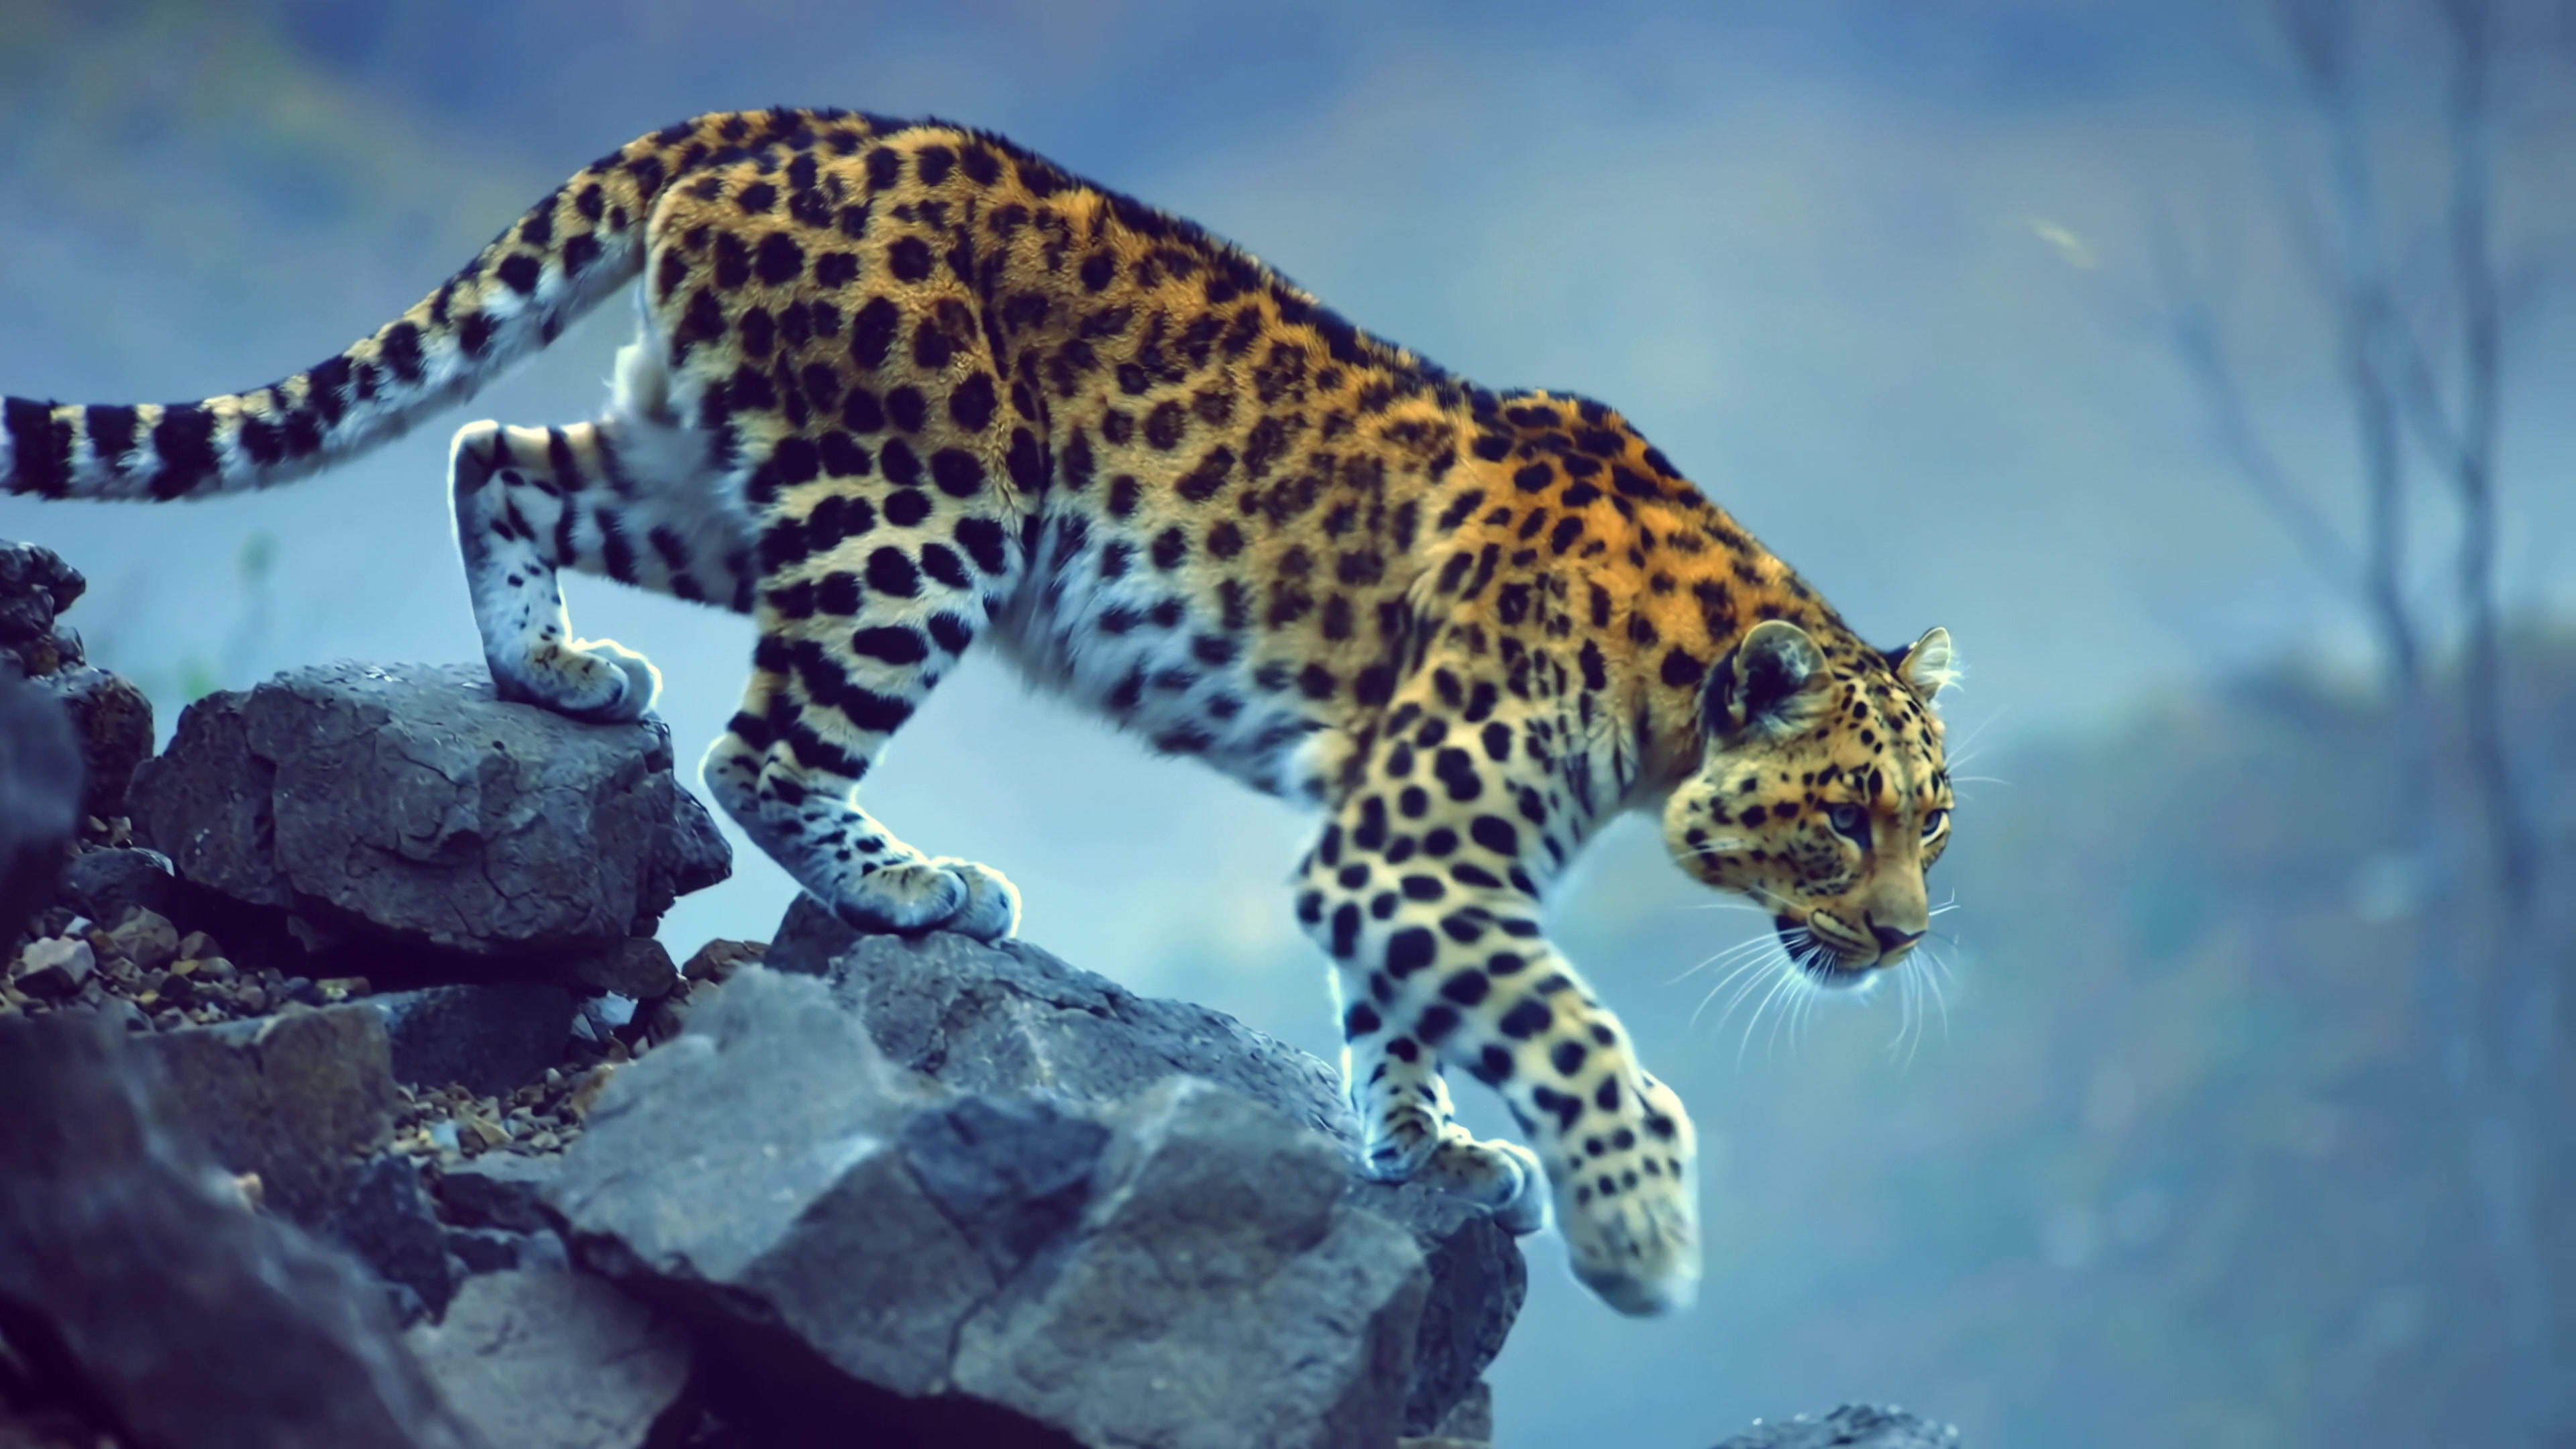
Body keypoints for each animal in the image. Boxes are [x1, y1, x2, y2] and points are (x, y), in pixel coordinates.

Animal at [1, 108, 1958, 1316]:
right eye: (1842, 820)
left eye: (1932, 826)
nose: (1904, 937)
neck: (1663, 688)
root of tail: (779, 122)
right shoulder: (1408, 847)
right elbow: (1569, 1028)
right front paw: (1637, 1230)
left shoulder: (1395, 857)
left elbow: (1417, 1011)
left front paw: (1422, 1142)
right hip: (921, 515)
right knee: (758, 742)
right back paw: (912, 884)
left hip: (722, 474)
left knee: (500, 452)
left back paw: (553, 671)